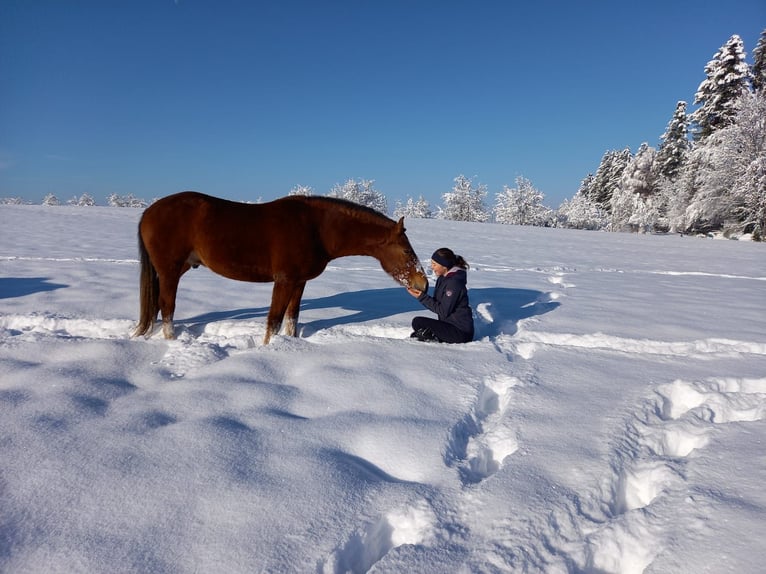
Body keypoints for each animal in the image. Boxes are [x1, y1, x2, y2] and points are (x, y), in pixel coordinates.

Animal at [134, 194, 428, 346]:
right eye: (406, 251)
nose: (422, 283)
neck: (316, 228)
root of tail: (148, 212)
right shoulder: (284, 280)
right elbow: (273, 321)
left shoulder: (299, 282)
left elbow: (291, 319)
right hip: (170, 271)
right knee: (167, 306)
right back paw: (170, 340)